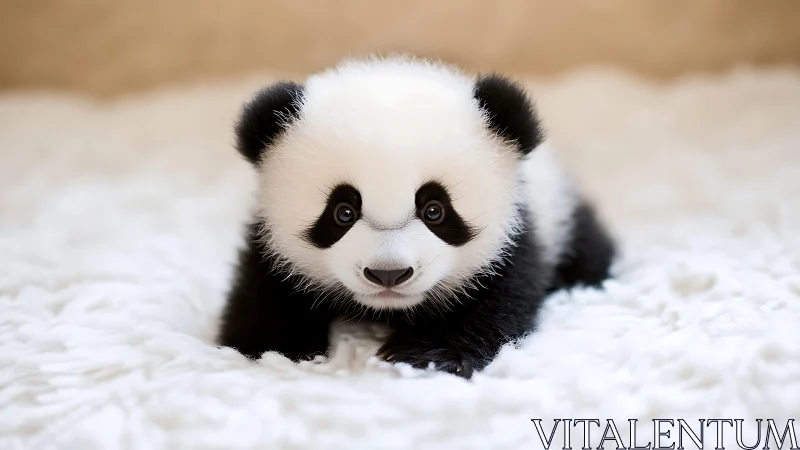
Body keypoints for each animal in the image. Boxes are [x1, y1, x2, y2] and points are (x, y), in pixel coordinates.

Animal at [217, 55, 615, 379]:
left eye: (434, 210)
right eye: (343, 212)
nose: (388, 274)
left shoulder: (513, 238)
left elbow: (496, 299)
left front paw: (430, 354)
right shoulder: (270, 242)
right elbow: (264, 292)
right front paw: (277, 347)